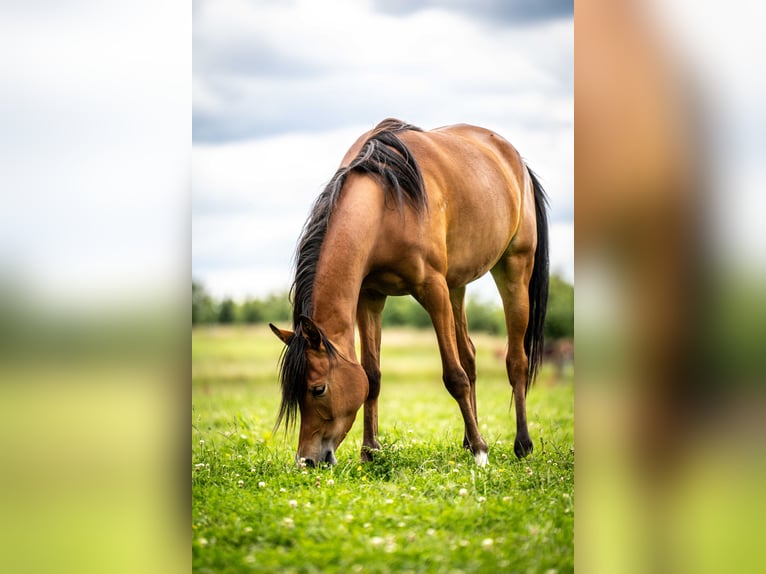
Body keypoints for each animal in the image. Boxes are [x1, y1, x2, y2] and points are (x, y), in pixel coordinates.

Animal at [268, 118, 548, 468]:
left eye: (318, 389)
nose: (307, 461)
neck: (385, 203)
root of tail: (515, 160)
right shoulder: (370, 297)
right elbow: (371, 376)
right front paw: (370, 450)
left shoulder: (432, 289)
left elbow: (453, 376)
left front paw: (481, 452)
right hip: (457, 285)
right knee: (469, 356)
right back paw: (469, 439)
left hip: (513, 268)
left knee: (515, 361)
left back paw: (521, 444)